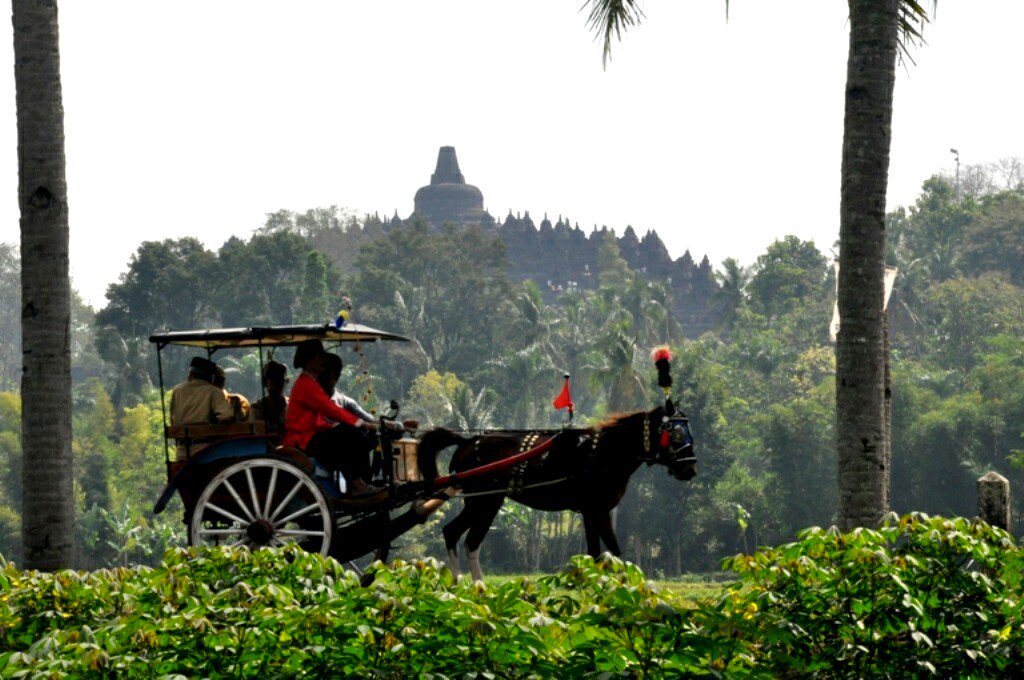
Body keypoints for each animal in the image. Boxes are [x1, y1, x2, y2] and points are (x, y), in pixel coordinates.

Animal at [415, 401, 696, 581]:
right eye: (677, 433)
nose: (690, 468)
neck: (604, 452)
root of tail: (467, 441)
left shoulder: (598, 511)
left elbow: (609, 552)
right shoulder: (594, 510)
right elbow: (601, 552)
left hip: (478, 502)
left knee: (452, 532)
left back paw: (458, 586)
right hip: (486, 502)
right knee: (470, 541)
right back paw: (477, 588)